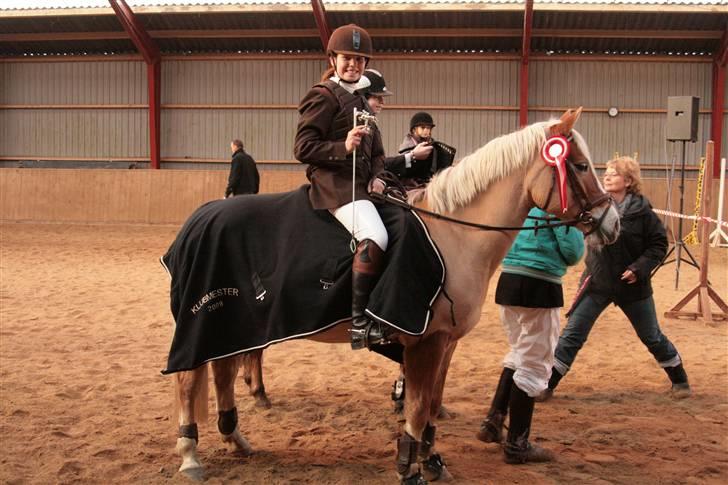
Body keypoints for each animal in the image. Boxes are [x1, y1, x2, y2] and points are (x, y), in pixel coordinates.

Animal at [172, 108, 620, 482]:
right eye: (580, 166)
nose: (612, 222)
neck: (454, 233)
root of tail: (201, 216)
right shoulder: (425, 342)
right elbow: (418, 408)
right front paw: (410, 468)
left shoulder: (446, 342)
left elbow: (432, 404)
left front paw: (431, 460)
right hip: (205, 320)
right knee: (189, 379)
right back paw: (190, 453)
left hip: (233, 324)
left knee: (223, 371)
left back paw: (235, 438)